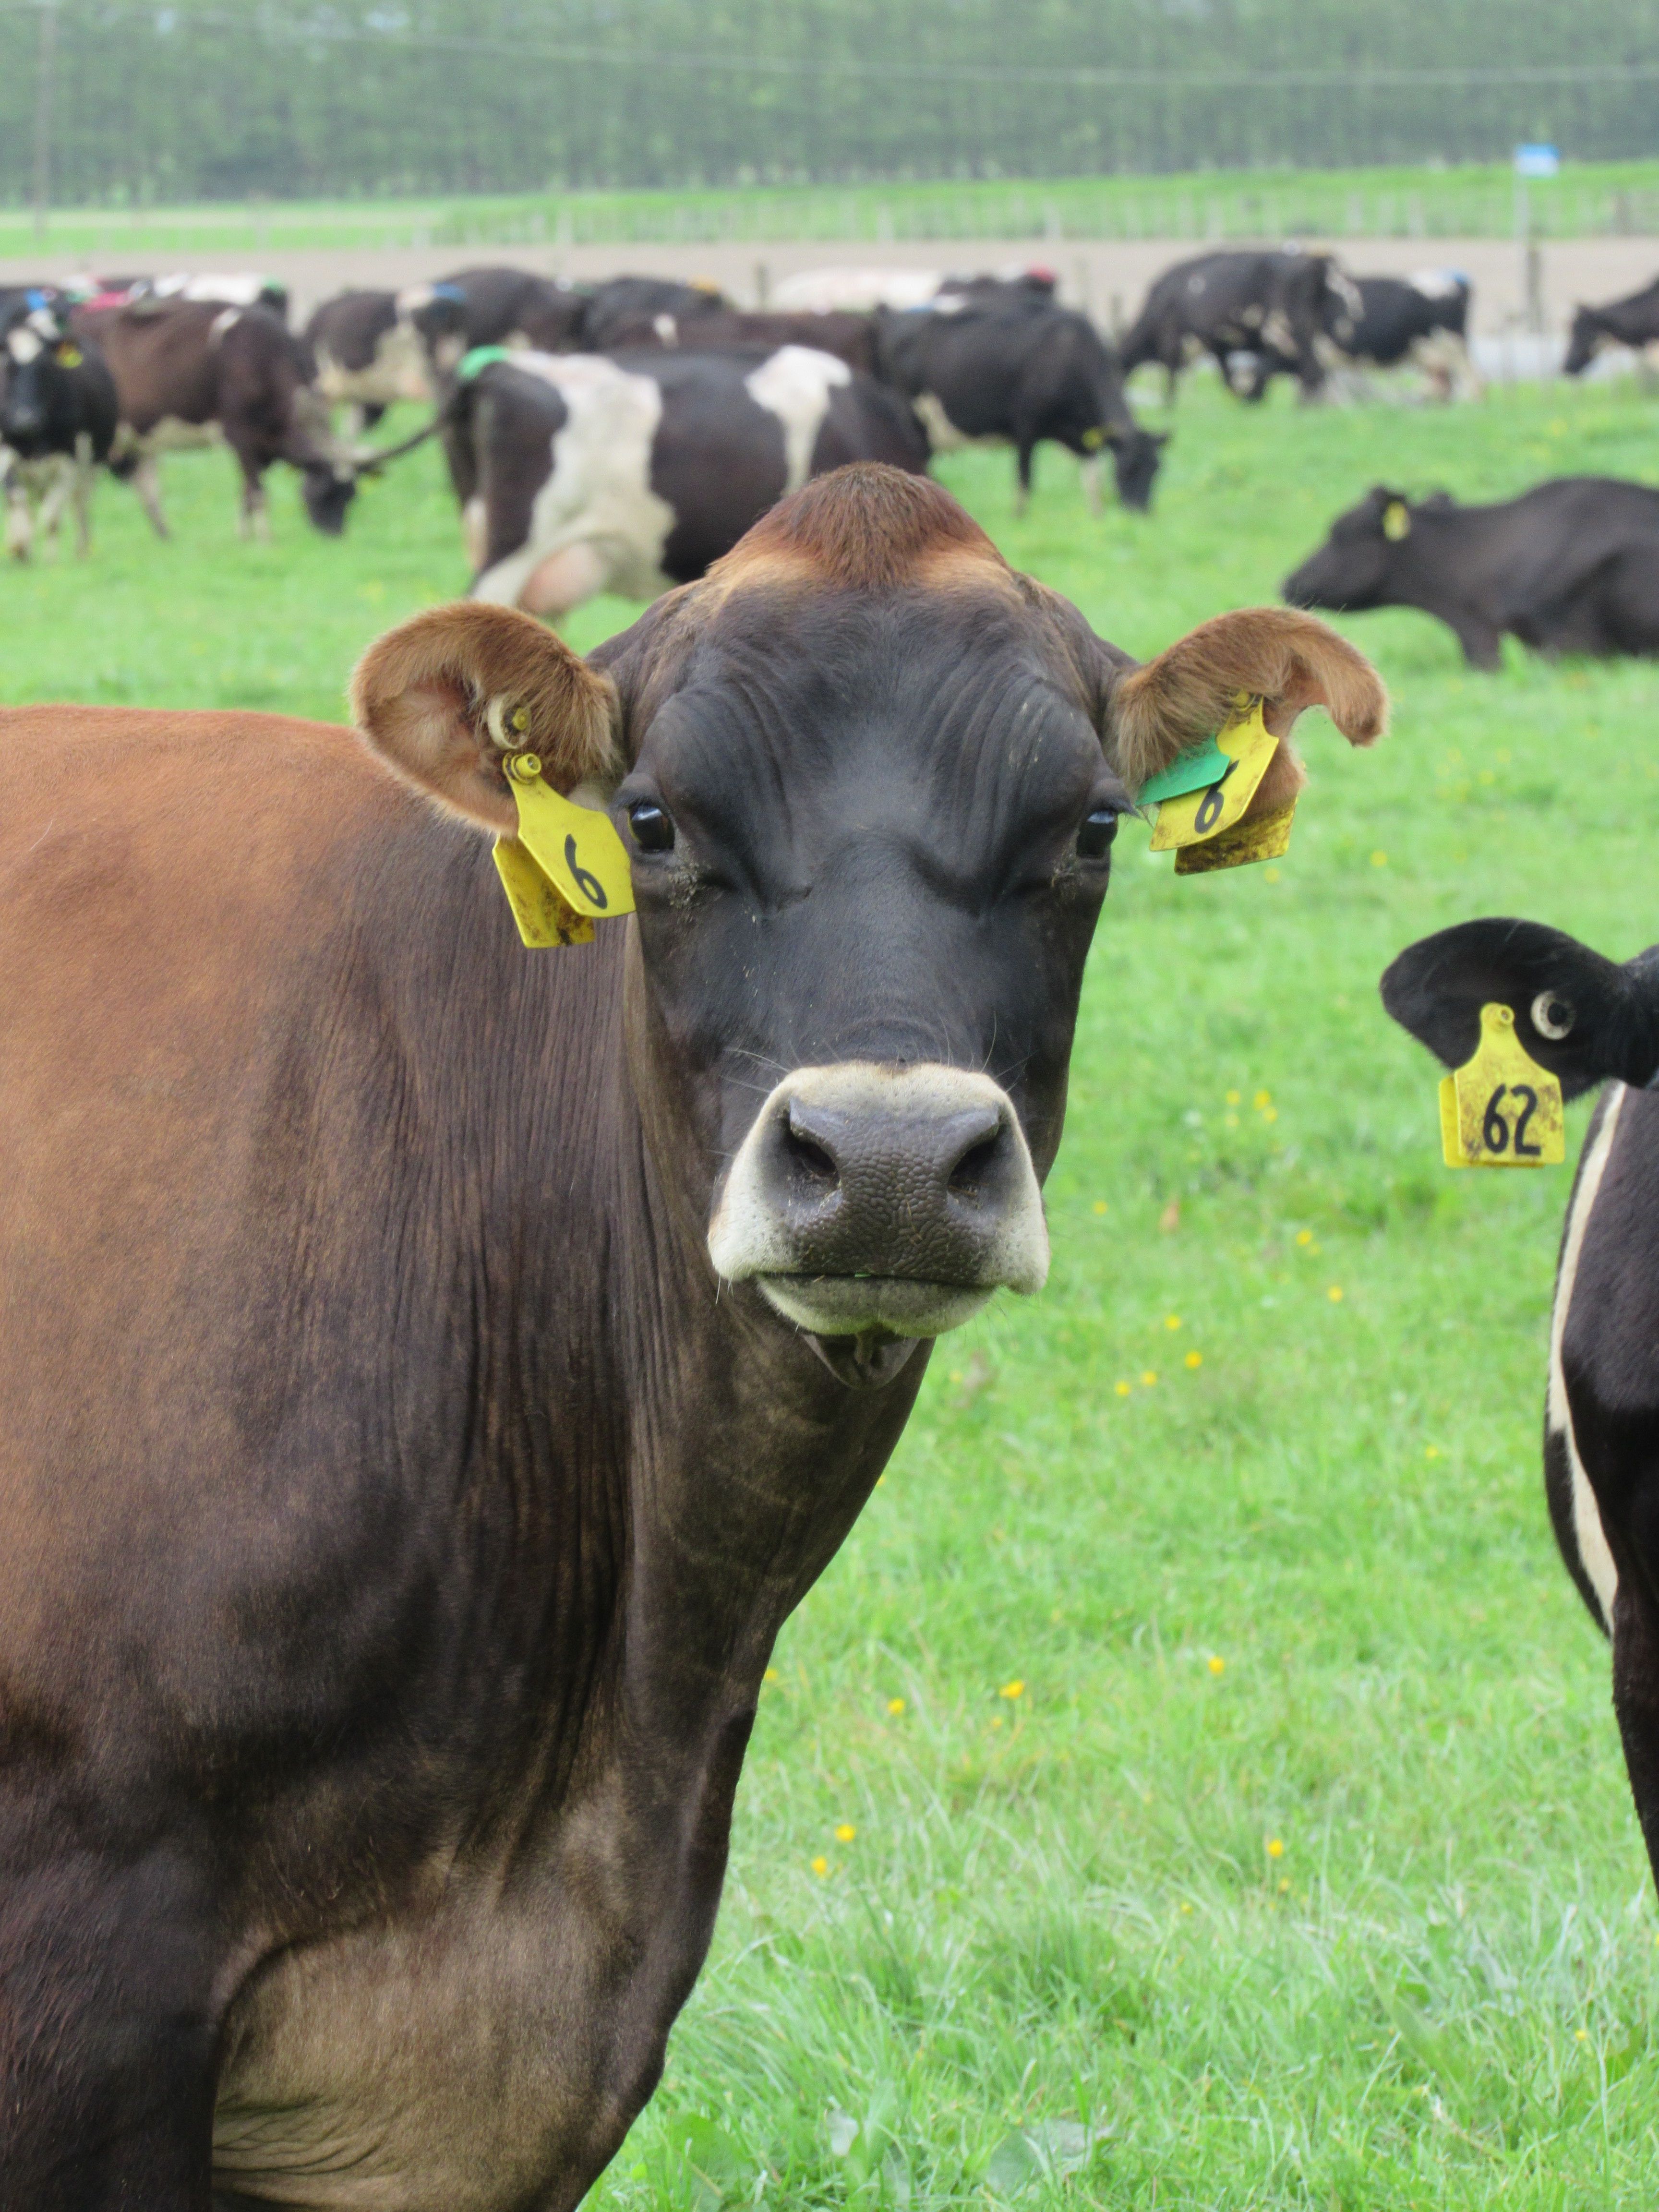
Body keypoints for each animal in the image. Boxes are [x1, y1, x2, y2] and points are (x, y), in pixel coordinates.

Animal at [0, 308, 119, 559]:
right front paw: (19, 548)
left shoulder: (68, 462)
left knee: (81, 502)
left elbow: (52, 517)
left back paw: (83, 550)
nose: (26, 419)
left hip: (91, 464)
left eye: (45, 369)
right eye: (9, 368)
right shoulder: (6, 454)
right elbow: (17, 500)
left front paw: (51, 560)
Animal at [70, 296, 357, 540]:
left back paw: (165, 537)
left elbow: (246, 493)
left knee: (145, 487)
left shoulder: (263, 444)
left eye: (352, 495)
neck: (264, 358)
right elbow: (258, 493)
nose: (336, 535)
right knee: (84, 490)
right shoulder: (241, 434)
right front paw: (265, 541)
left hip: (135, 440)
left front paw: (243, 537)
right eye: (327, 490)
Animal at [875, 297, 1166, 513]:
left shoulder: (1084, 438)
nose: (1141, 513)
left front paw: (1097, 517)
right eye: (1128, 468)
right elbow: (1025, 480)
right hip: (914, 421)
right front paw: (1020, 516)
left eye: (1157, 470)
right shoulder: (1026, 427)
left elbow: (1093, 481)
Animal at [1119, 249, 1337, 402]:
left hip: (1294, 330)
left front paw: (1169, 405)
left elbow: (1172, 371)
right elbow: (1226, 375)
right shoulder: (1216, 344)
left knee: (1314, 369)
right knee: (1317, 368)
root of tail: (1313, 262)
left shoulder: (1174, 336)